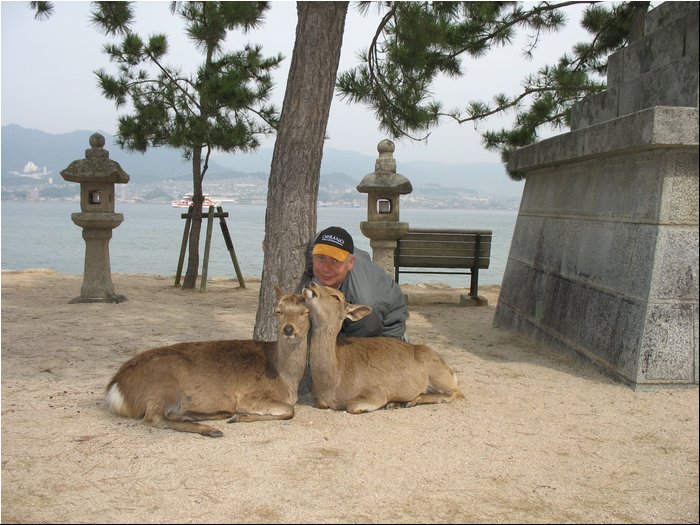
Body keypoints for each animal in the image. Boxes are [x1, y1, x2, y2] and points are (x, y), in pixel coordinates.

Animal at [104, 286, 308, 434]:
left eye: (305, 312)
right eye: (278, 311)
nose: (288, 329)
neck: (287, 378)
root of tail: (115, 386)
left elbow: (289, 410)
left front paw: (238, 417)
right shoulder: (249, 395)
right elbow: (290, 411)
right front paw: (241, 417)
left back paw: (208, 415)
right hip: (163, 384)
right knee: (154, 418)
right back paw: (210, 429)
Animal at [300, 282, 464, 414]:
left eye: (336, 296)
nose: (311, 284)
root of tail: (450, 370)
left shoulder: (375, 391)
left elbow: (352, 406)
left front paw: (385, 403)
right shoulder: (319, 399)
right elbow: (320, 403)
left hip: (438, 374)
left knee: (457, 393)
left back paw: (406, 401)